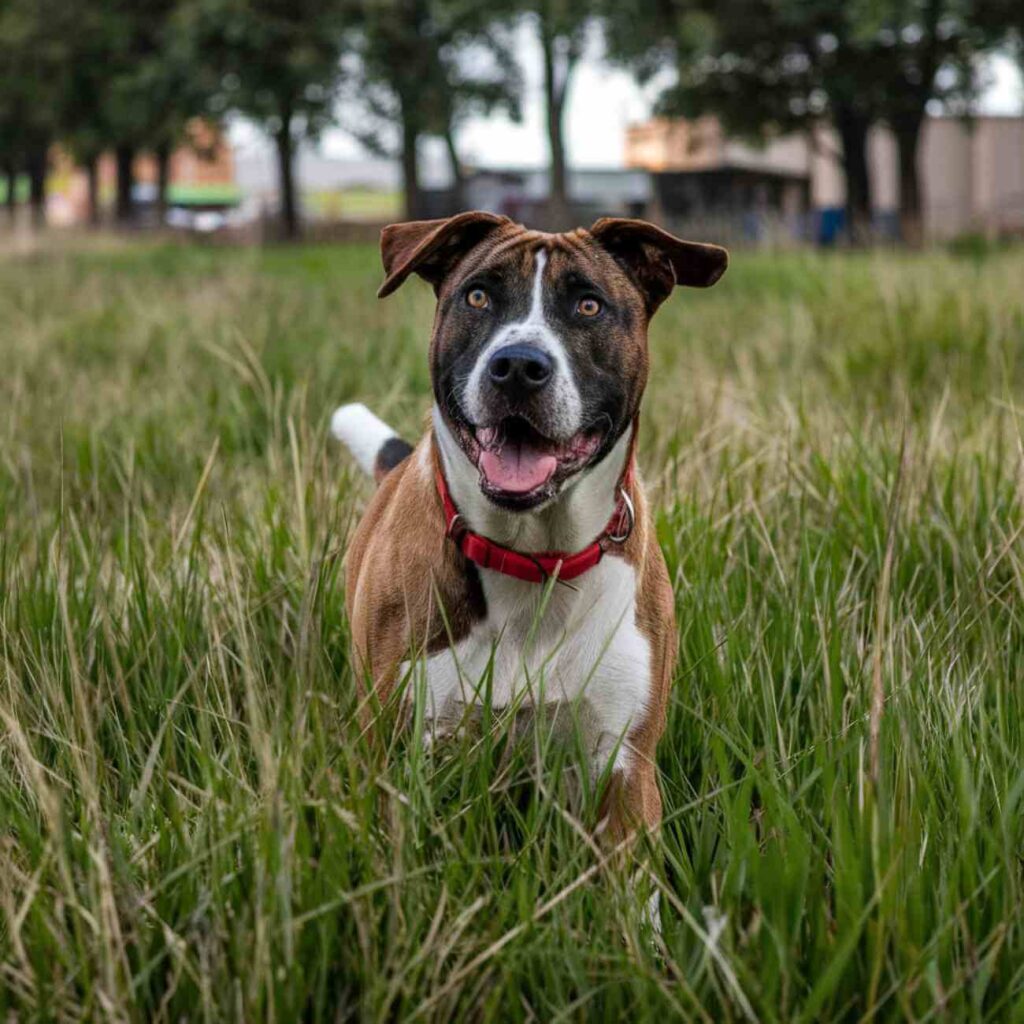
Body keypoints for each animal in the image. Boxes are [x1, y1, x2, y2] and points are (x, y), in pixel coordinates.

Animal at [331, 209, 724, 847]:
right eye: (478, 296)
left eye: (588, 306)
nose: (517, 365)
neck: (533, 555)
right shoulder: (396, 753)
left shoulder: (624, 767)